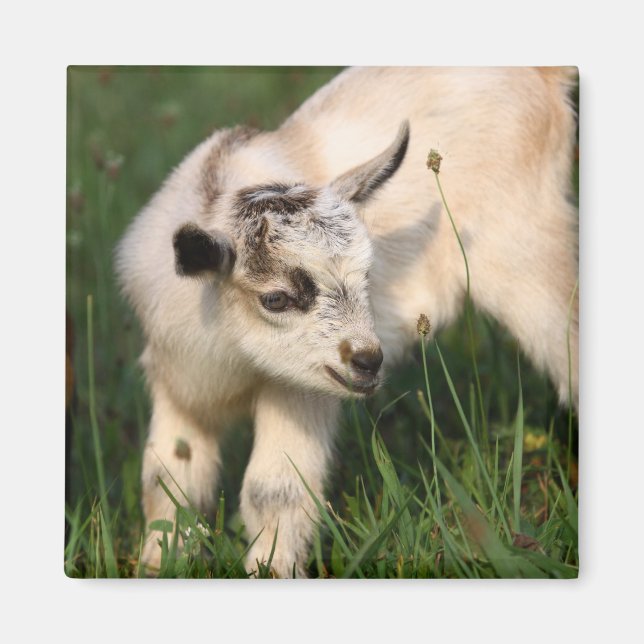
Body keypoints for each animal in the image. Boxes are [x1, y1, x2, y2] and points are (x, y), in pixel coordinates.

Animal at [115, 67, 578, 577]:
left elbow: (273, 489)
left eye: (367, 277)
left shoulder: (299, 389)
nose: (368, 361)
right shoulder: (177, 385)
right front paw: (157, 565)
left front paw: (272, 569)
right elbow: (166, 483)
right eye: (276, 298)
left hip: (528, 252)